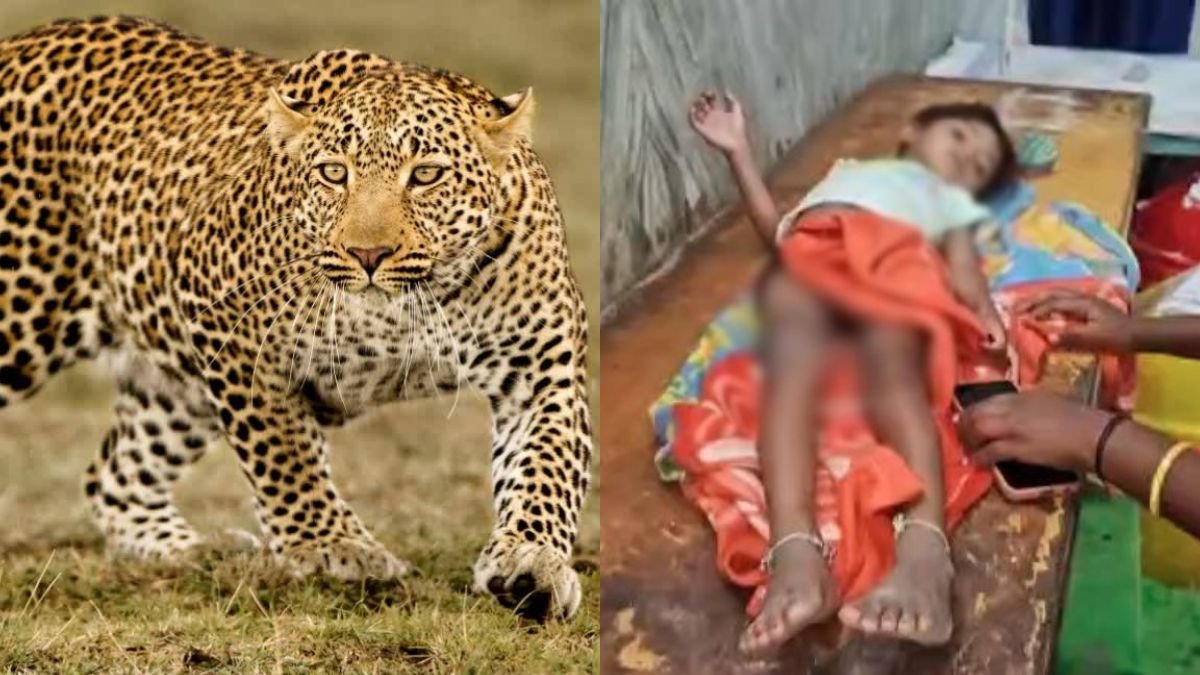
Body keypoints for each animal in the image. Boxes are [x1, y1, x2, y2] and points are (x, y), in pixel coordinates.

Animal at [0, 16, 592, 620]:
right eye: (334, 173)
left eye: (426, 175)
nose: (368, 254)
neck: (404, 311)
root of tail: (23, 42)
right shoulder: (224, 323)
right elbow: (282, 453)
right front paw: (335, 547)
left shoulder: (542, 364)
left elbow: (548, 463)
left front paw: (532, 562)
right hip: (23, 317)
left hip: (175, 392)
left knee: (112, 477)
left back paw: (193, 552)